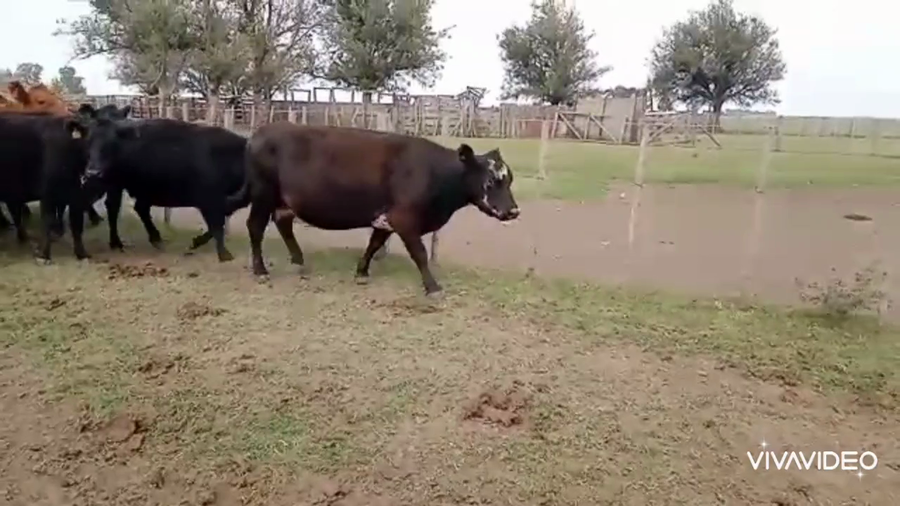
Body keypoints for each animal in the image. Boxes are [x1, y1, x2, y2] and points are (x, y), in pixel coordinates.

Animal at [0, 111, 92, 261]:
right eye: (90, 139)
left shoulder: (77, 195)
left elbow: (76, 224)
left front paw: (82, 253)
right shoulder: (47, 194)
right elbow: (47, 221)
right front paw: (43, 254)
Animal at [71, 115, 249, 261]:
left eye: (111, 144)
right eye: (89, 142)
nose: (93, 172)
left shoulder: (221, 203)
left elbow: (216, 227)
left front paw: (197, 242)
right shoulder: (209, 201)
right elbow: (217, 227)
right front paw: (224, 254)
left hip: (120, 187)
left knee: (123, 208)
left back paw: (134, 240)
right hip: (102, 185)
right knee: (87, 205)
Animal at [229, 123, 520, 295]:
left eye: (509, 179)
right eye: (490, 181)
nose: (514, 212)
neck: (432, 172)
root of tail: (260, 132)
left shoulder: (387, 218)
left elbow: (374, 244)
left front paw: (361, 272)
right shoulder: (404, 219)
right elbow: (420, 253)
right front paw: (433, 286)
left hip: (282, 201)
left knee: (283, 223)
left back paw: (299, 262)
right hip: (263, 196)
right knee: (255, 227)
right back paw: (261, 271)